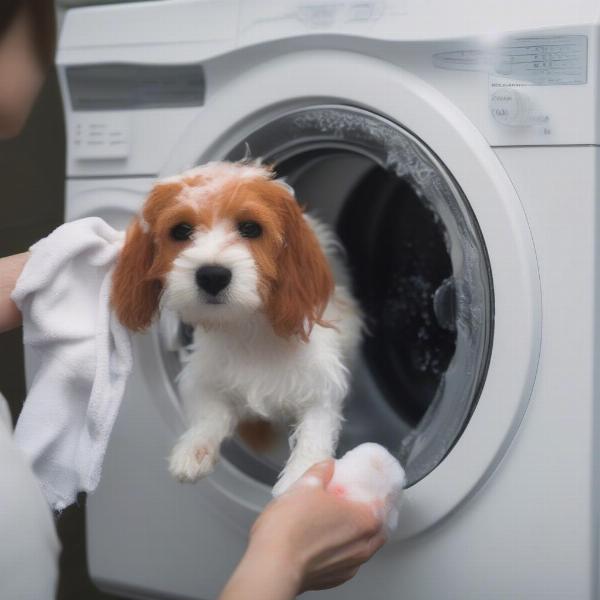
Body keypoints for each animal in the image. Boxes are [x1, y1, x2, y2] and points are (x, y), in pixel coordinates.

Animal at [111, 162, 360, 494]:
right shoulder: (205, 374)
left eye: (251, 228)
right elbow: (210, 413)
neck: (248, 328)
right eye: (181, 231)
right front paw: (195, 448)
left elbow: (314, 431)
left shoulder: (321, 383)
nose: (212, 275)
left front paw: (300, 477)